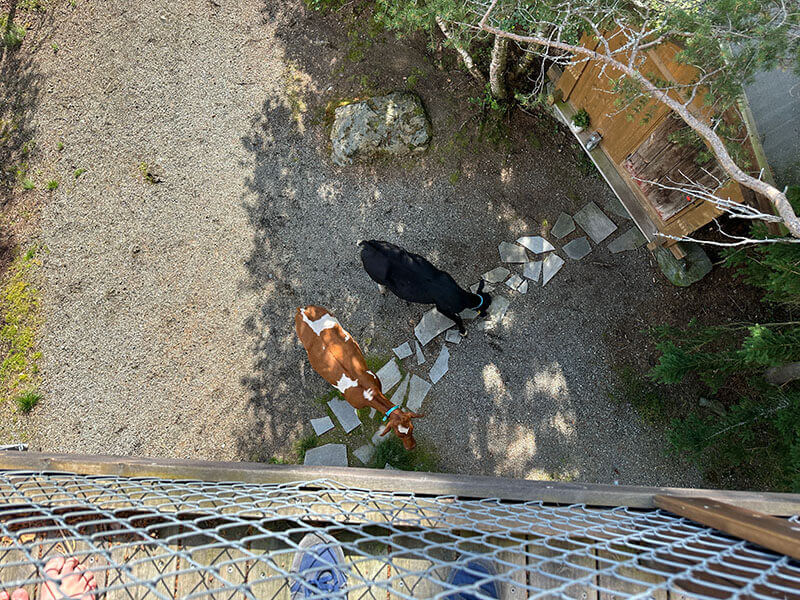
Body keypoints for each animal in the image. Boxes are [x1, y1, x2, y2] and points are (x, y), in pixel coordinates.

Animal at [360, 239, 488, 332]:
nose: (486, 316)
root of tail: (369, 244)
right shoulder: (442, 308)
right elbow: (457, 318)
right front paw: (463, 331)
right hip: (375, 275)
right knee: (379, 283)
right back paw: (383, 290)